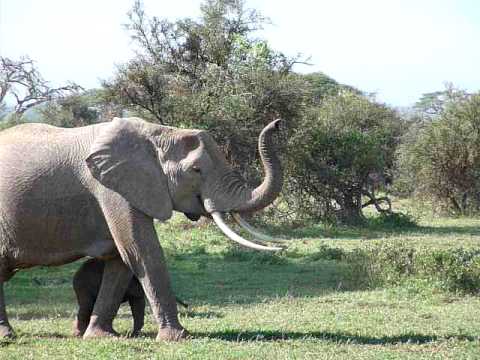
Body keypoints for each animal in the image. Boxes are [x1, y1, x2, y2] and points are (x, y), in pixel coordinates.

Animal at [0, 117, 284, 340]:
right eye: (196, 170)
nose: (277, 123)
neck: (157, 133)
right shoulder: (112, 191)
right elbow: (141, 250)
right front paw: (178, 337)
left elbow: (120, 259)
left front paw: (103, 336)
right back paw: (8, 336)